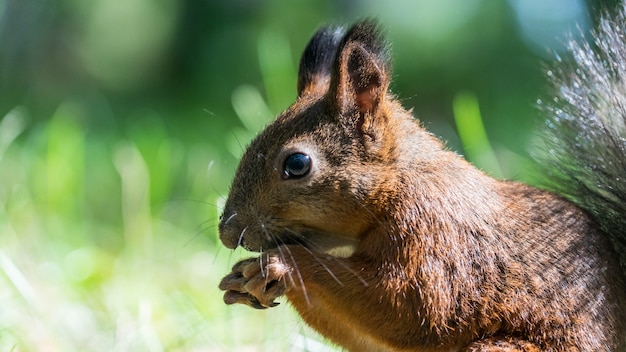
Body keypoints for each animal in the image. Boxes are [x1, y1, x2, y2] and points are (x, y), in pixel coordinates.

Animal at [217, 8, 624, 352]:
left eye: (297, 163)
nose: (226, 232)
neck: (398, 184)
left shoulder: (434, 236)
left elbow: (410, 312)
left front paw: (281, 264)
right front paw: (244, 281)